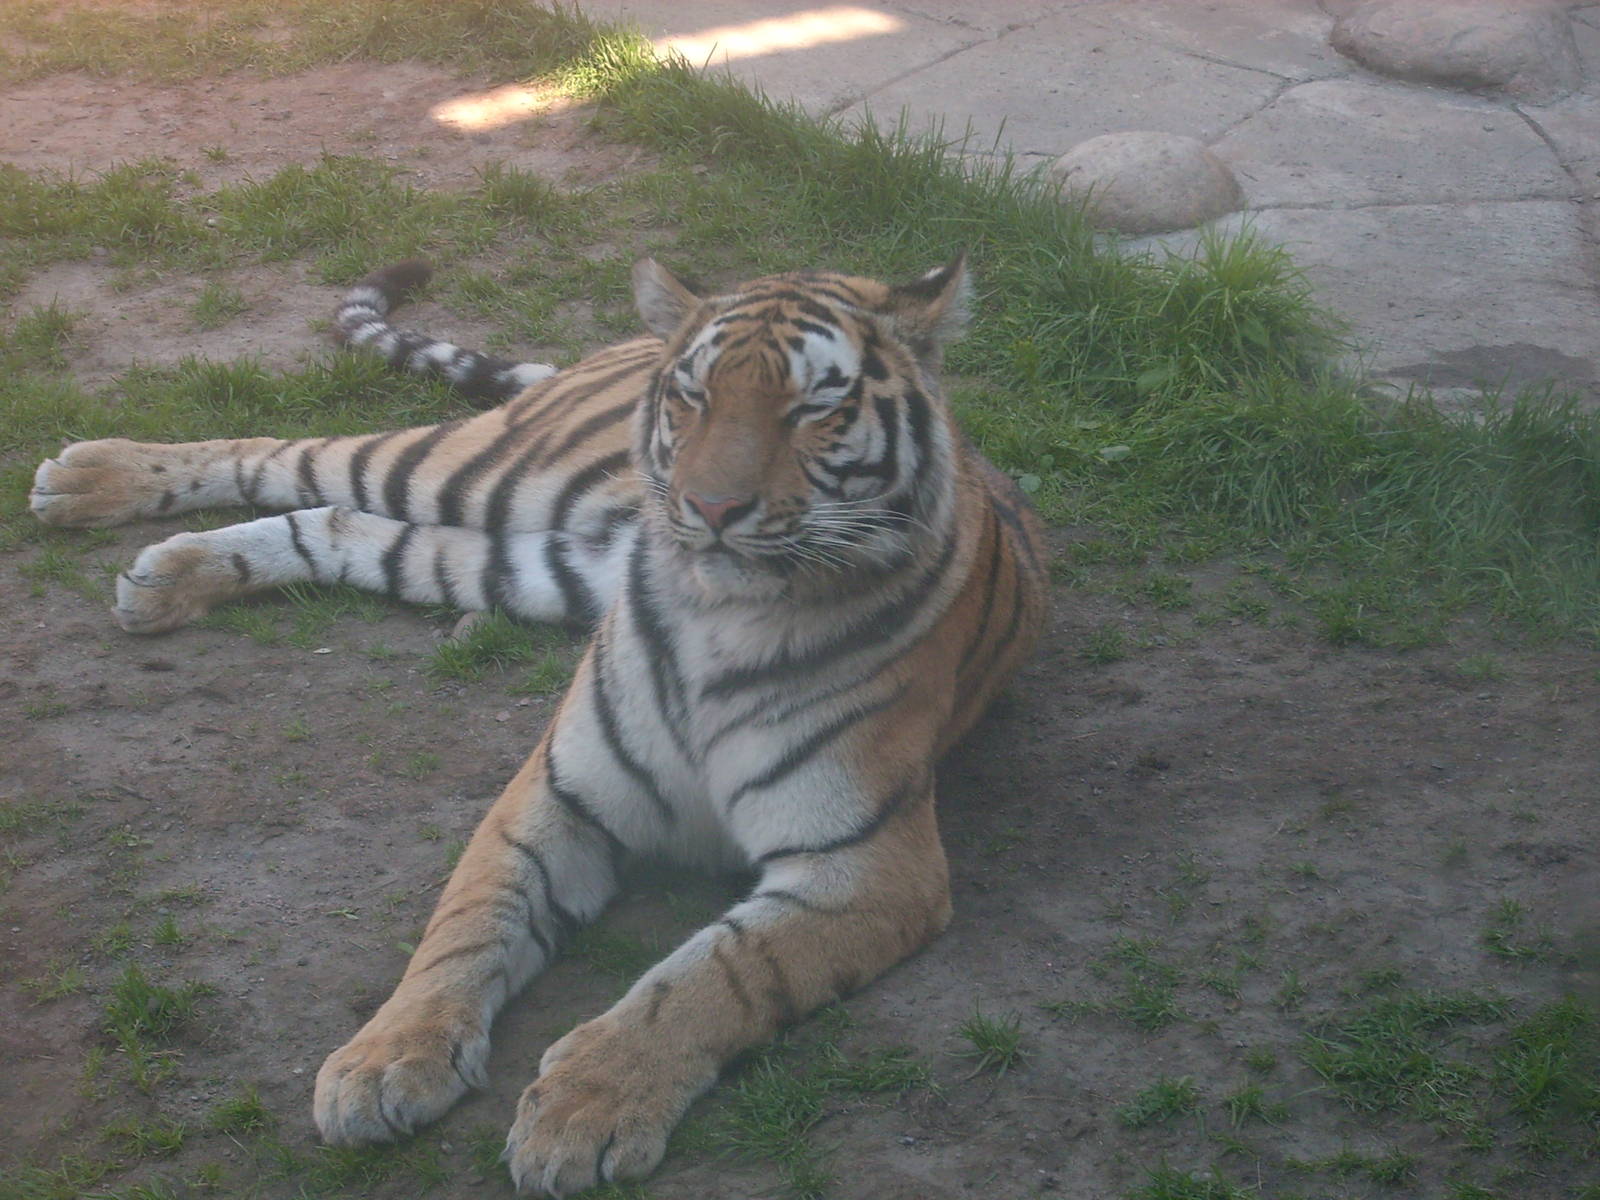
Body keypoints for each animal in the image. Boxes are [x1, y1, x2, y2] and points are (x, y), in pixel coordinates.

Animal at [29, 254, 1048, 1196]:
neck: (721, 611)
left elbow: (711, 975)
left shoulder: (866, 865)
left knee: (342, 523)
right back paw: (90, 479)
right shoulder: (556, 793)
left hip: (521, 562)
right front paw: (383, 1061)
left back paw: (166, 577)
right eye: (695, 396)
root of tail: (622, 342)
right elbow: (467, 926)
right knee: (289, 452)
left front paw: (584, 1109)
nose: (710, 510)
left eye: (812, 409)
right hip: (478, 472)